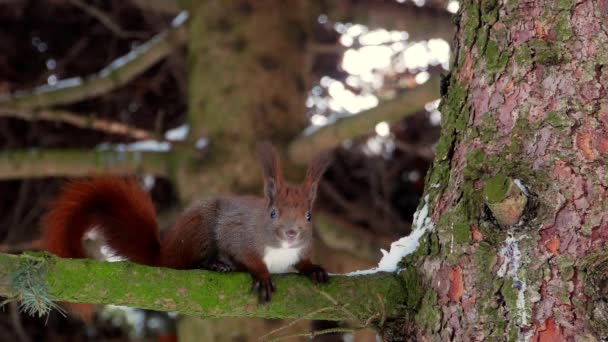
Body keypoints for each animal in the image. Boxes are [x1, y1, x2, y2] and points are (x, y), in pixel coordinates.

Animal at [41, 143, 332, 304]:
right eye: (272, 213)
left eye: (308, 216)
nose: (291, 233)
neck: (281, 251)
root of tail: (164, 254)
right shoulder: (237, 233)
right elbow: (244, 254)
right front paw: (261, 275)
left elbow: (302, 262)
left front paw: (314, 268)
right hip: (198, 230)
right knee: (185, 264)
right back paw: (214, 265)